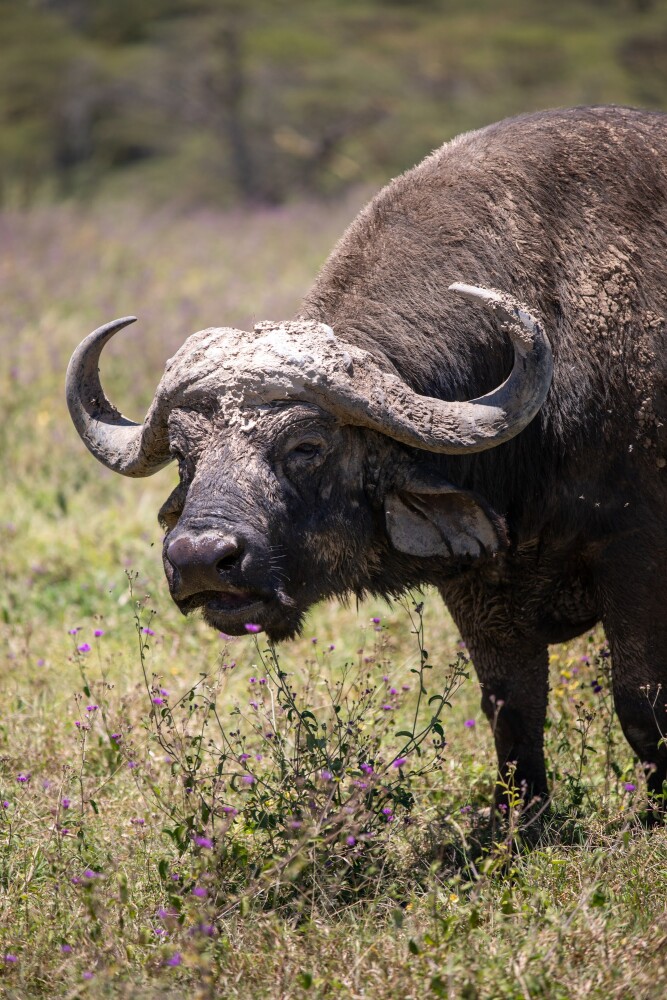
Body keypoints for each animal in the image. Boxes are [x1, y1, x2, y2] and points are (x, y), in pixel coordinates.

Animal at [67, 106, 667, 810]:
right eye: (186, 454)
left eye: (307, 446)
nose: (198, 559)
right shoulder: (479, 582)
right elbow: (513, 712)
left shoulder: (636, 554)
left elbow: (641, 709)